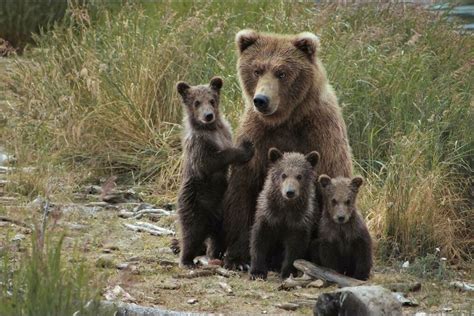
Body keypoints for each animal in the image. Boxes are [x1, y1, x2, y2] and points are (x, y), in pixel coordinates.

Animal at [224, 29, 354, 270]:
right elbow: (243, 190)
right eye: (257, 69)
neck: (286, 119)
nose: (261, 100)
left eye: (281, 73)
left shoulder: (321, 135)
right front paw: (238, 258)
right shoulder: (257, 137)